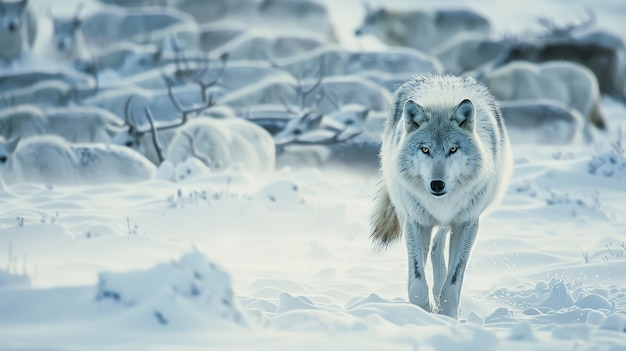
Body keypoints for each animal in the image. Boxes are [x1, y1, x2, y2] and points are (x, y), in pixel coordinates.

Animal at [368, 74, 510, 320]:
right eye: (425, 149)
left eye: (453, 149)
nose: (437, 184)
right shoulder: (416, 222)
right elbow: (417, 277)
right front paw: (421, 313)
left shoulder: (467, 223)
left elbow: (454, 279)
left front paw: (448, 315)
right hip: (406, 212)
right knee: (431, 251)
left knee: (437, 247)